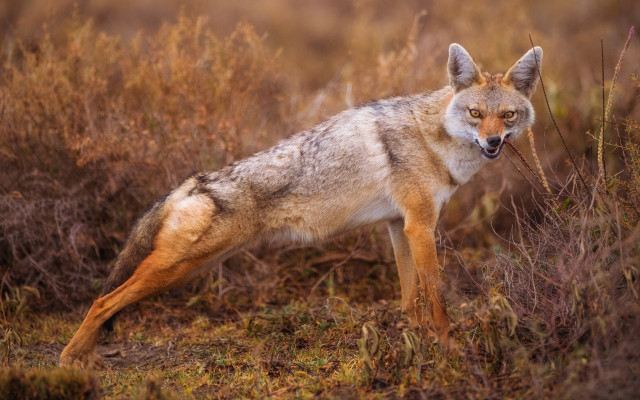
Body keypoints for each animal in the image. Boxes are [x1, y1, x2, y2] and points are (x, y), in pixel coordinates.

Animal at [60, 43, 542, 366]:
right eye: (476, 114)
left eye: (508, 116)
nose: (493, 143)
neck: (433, 137)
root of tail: (193, 182)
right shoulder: (420, 227)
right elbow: (438, 301)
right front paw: (450, 350)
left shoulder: (399, 226)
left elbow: (411, 301)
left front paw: (419, 345)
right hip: (176, 270)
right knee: (102, 302)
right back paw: (72, 360)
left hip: (190, 269)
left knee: (107, 300)